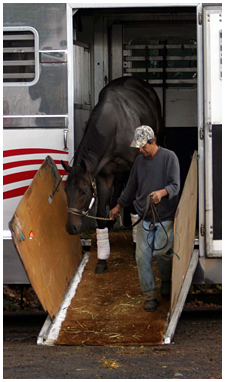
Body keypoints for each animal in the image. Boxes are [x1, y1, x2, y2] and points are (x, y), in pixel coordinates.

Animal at [62, 76, 162, 270]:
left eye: (83, 192)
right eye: (65, 191)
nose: (71, 228)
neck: (114, 127)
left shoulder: (133, 170)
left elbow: (134, 208)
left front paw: (136, 247)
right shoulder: (104, 176)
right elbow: (101, 214)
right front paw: (102, 259)